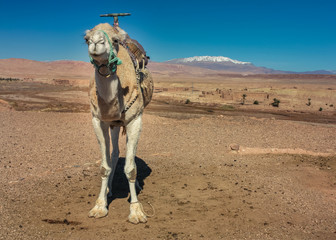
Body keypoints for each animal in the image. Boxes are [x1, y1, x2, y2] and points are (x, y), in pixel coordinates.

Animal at [83, 22, 153, 223]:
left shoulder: (134, 120)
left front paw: (136, 211)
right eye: (86, 39)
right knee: (114, 154)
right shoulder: (99, 121)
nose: (96, 43)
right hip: (115, 125)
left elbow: (130, 168)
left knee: (131, 156)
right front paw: (100, 205)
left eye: (115, 40)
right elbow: (104, 166)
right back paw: (109, 189)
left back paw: (136, 186)